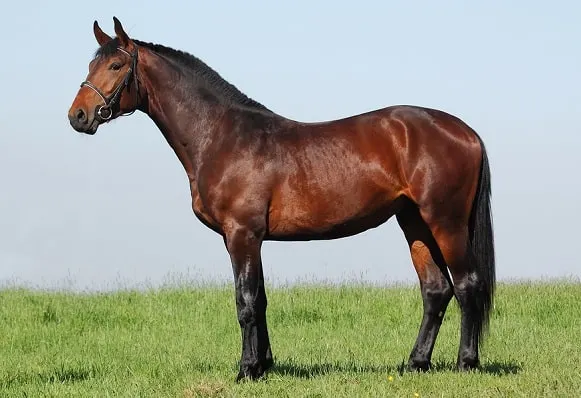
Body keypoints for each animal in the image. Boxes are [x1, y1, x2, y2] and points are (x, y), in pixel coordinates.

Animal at [68, 17, 494, 380]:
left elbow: (245, 301)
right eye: (92, 64)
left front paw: (245, 370)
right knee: (436, 289)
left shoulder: (241, 234)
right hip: (414, 222)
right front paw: (263, 366)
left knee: (467, 284)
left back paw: (466, 363)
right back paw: (416, 363)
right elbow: (260, 300)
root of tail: (465, 130)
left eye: (116, 65)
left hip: (445, 222)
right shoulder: (248, 238)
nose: (78, 116)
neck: (221, 135)